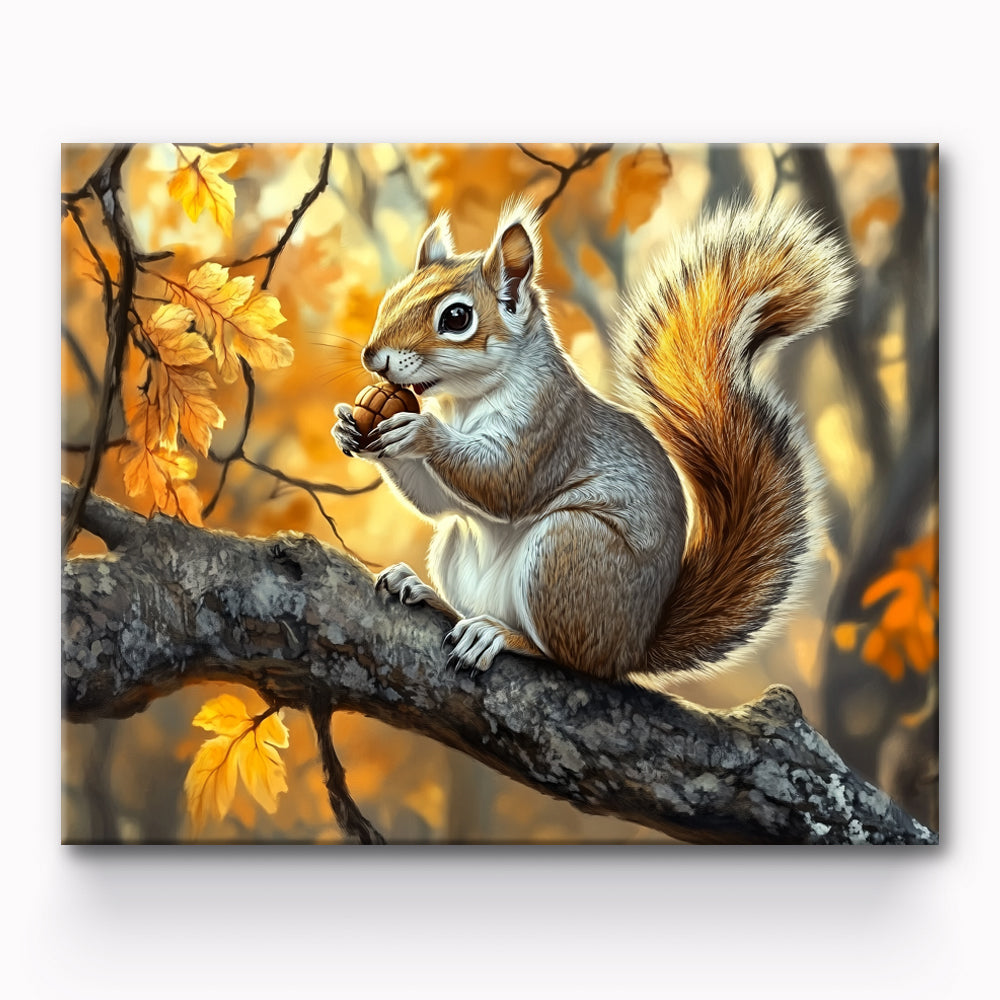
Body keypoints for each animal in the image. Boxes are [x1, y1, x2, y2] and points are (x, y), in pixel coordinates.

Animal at [332, 197, 851, 682]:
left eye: (456, 317)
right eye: (392, 297)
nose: (372, 355)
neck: (466, 401)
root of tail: (631, 648)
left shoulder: (551, 428)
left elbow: (503, 483)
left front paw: (417, 430)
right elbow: (437, 503)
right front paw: (348, 425)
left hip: (568, 551)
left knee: (565, 658)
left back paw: (497, 635)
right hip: (458, 546)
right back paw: (426, 594)